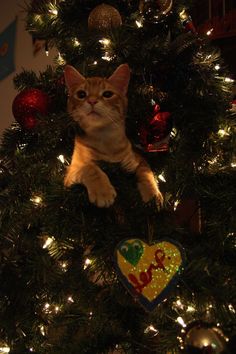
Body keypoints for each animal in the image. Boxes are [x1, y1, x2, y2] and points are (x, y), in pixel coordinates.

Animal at [63, 64, 162, 207]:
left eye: (107, 94)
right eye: (81, 94)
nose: (92, 101)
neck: (105, 139)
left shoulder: (138, 159)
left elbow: (146, 172)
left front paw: (152, 194)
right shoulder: (70, 174)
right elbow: (89, 167)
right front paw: (102, 191)